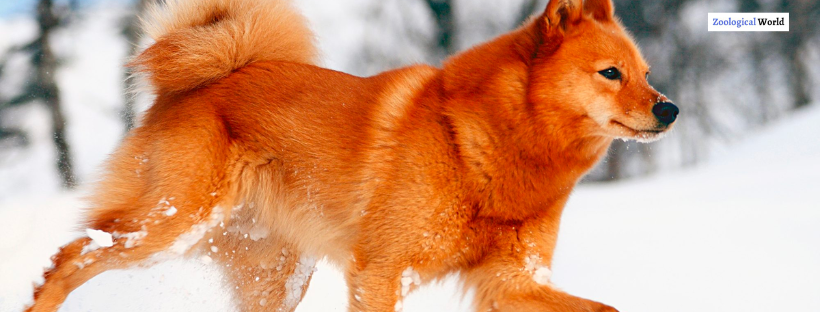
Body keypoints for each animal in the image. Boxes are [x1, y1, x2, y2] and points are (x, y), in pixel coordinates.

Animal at [27, 0, 680, 310]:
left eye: (647, 74)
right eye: (611, 73)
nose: (671, 109)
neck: (488, 145)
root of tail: (209, 78)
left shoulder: (508, 281)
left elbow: (605, 309)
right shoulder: (383, 272)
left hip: (276, 275)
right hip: (170, 222)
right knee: (71, 256)